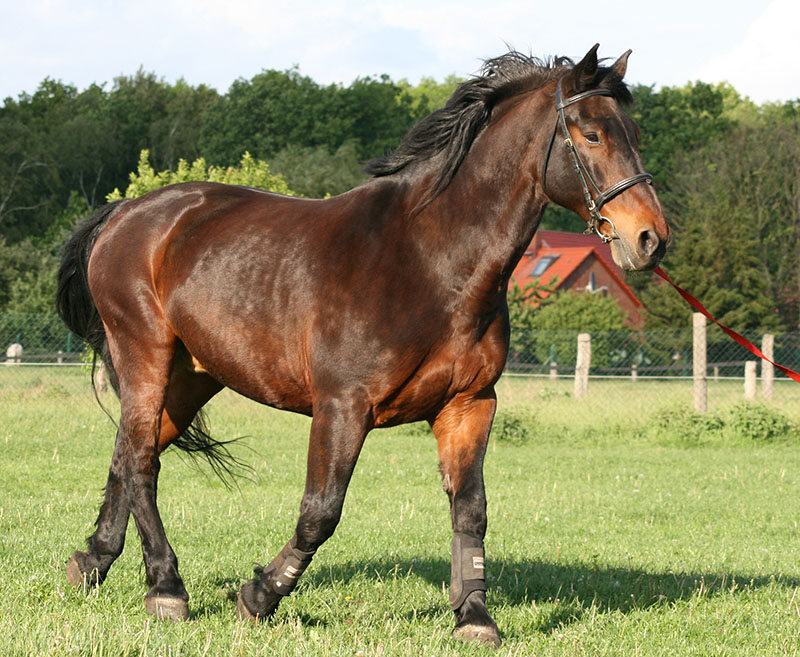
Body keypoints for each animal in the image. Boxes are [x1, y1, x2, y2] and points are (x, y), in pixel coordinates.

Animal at [54, 44, 668, 644]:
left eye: (636, 134)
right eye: (592, 134)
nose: (650, 239)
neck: (430, 262)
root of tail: (127, 213)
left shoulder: (469, 405)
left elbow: (470, 511)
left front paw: (474, 617)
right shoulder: (343, 407)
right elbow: (320, 512)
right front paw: (259, 597)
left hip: (192, 375)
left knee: (130, 451)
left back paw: (93, 562)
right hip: (147, 354)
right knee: (140, 461)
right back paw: (166, 588)